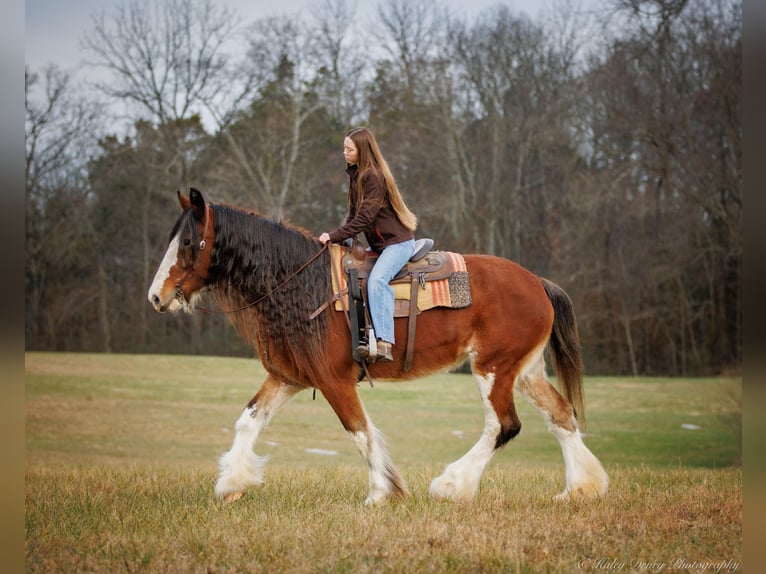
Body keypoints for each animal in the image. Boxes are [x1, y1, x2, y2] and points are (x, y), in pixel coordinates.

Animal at [147, 188, 608, 504]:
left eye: (187, 242)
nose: (155, 296)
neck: (301, 285)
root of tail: (538, 284)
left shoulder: (333, 381)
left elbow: (360, 433)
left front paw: (381, 493)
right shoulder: (288, 377)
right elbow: (249, 421)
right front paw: (232, 483)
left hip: (494, 368)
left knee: (503, 425)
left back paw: (452, 485)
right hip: (526, 371)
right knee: (561, 416)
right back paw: (581, 487)